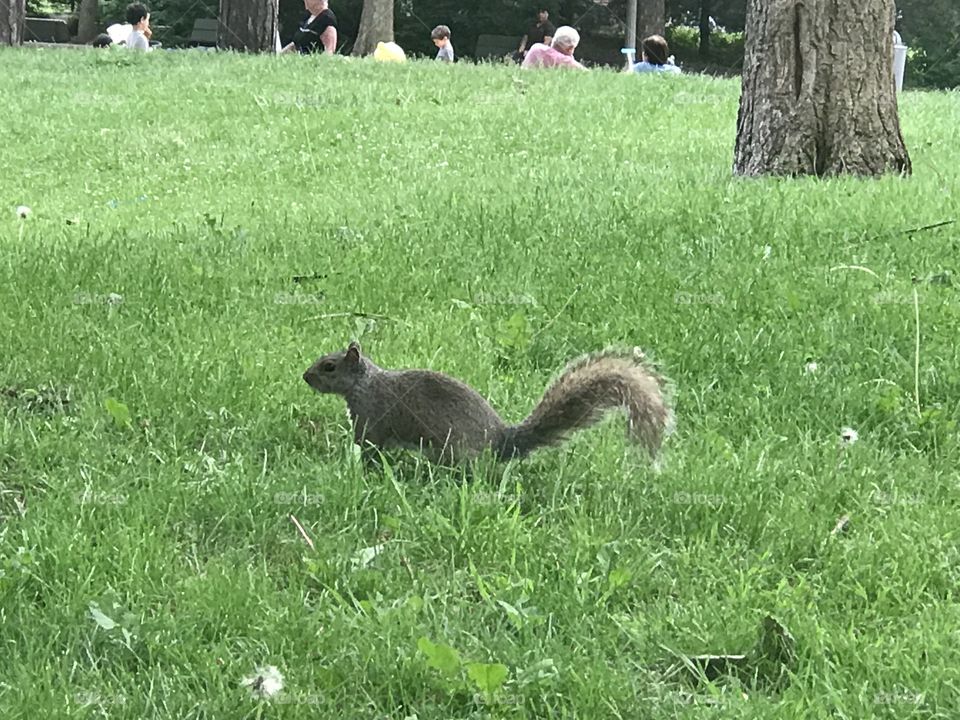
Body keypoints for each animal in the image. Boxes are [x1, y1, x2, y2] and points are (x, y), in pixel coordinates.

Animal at [302, 341, 674, 466]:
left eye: (329, 366)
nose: (305, 376)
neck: (365, 384)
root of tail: (501, 441)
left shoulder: (372, 416)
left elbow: (368, 446)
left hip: (452, 450)